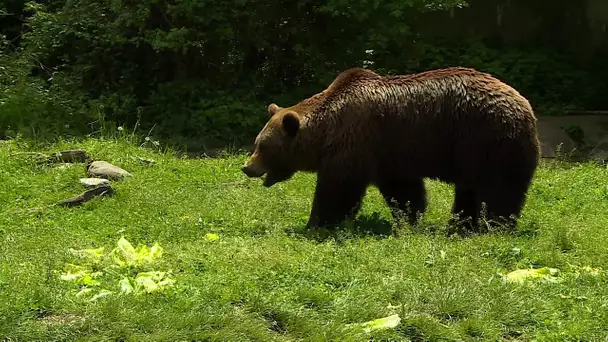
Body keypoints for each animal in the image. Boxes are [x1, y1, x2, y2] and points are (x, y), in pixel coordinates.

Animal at [240, 67, 540, 232]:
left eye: (262, 146)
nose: (247, 167)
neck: (325, 131)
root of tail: (526, 105)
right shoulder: (390, 153)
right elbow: (404, 190)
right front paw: (409, 217)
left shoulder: (357, 139)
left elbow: (338, 187)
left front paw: (316, 222)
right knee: (469, 191)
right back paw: (460, 225)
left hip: (488, 140)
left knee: (498, 190)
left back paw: (494, 226)